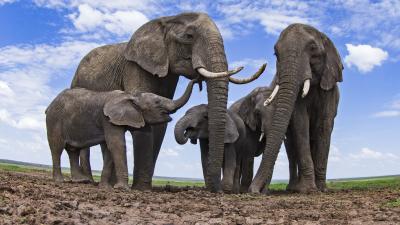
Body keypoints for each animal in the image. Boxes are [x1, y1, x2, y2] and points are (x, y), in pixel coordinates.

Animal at [46, 80, 196, 189]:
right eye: (157, 102)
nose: (196, 81)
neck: (131, 96)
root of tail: (50, 105)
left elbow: (109, 149)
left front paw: (105, 188)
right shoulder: (107, 119)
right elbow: (117, 145)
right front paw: (122, 188)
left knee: (73, 150)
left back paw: (80, 181)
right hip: (54, 119)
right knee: (57, 148)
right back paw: (60, 181)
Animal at [71, 11, 266, 192]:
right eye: (188, 37)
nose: (197, 80)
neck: (166, 19)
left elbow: (159, 124)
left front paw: (144, 188)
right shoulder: (135, 67)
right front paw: (140, 189)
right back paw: (89, 181)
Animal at [248, 22, 342, 192]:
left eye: (313, 48)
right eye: (275, 54)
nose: (253, 191)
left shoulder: (330, 88)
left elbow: (324, 126)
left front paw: (321, 190)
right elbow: (300, 123)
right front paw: (308, 190)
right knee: (291, 149)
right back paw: (292, 188)